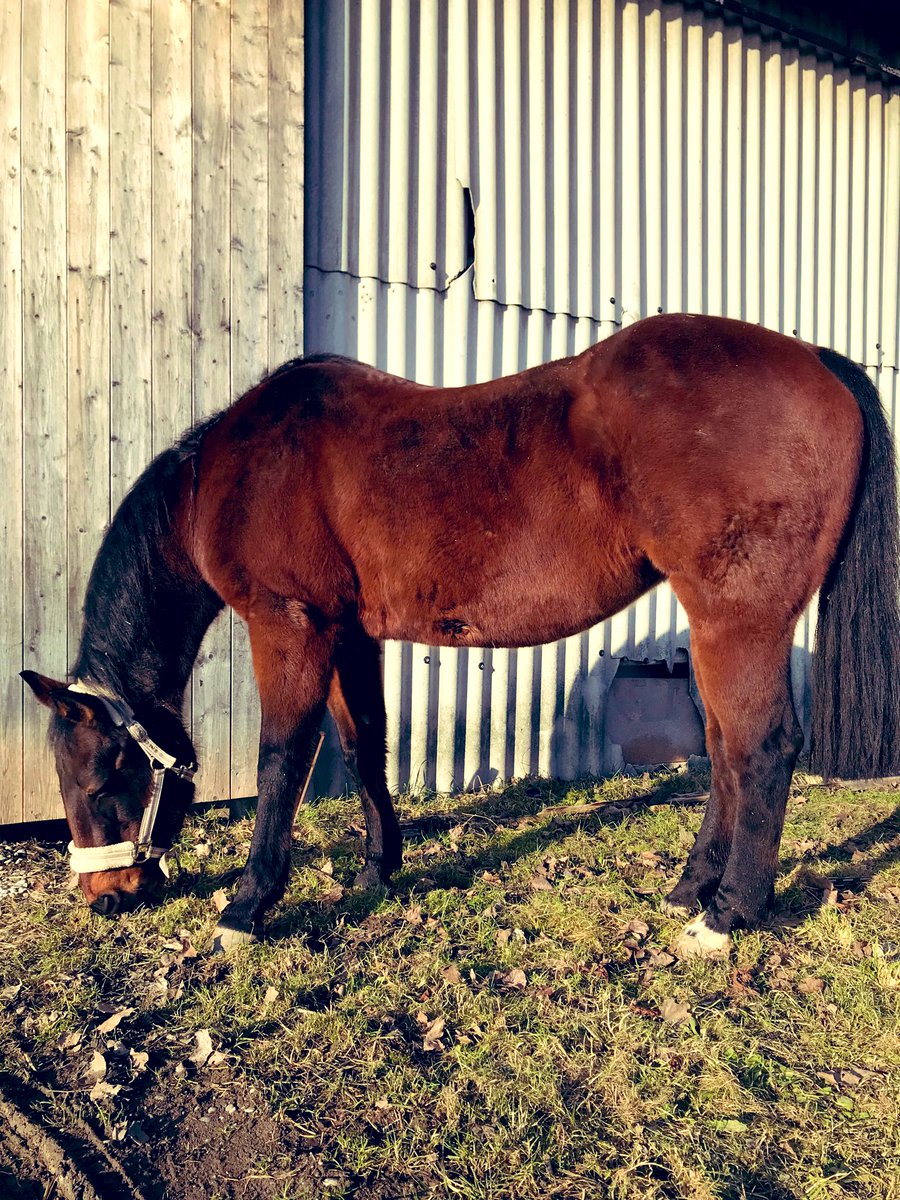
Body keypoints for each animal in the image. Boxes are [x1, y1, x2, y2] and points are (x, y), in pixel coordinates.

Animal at [22, 313, 900, 958]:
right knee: (723, 748)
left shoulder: (290, 627)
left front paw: (246, 908)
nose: (104, 898)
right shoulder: (349, 635)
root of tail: (817, 360)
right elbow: (365, 745)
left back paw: (724, 919)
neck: (235, 469)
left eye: (103, 775)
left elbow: (282, 763)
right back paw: (691, 889)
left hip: (737, 619)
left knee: (762, 748)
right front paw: (378, 871)